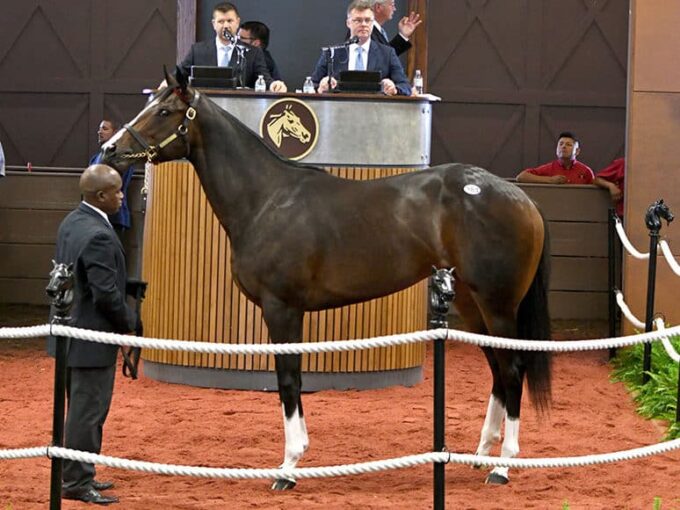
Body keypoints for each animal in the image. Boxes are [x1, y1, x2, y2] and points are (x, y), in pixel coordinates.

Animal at [105, 69, 552, 488]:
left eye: (164, 112)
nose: (112, 150)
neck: (266, 199)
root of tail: (522, 199)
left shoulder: (281, 308)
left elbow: (288, 380)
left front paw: (288, 467)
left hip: (497, 305)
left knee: (513, 369)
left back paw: (503, 466)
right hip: (471, 305)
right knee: (498, 370)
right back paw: (482, 454)